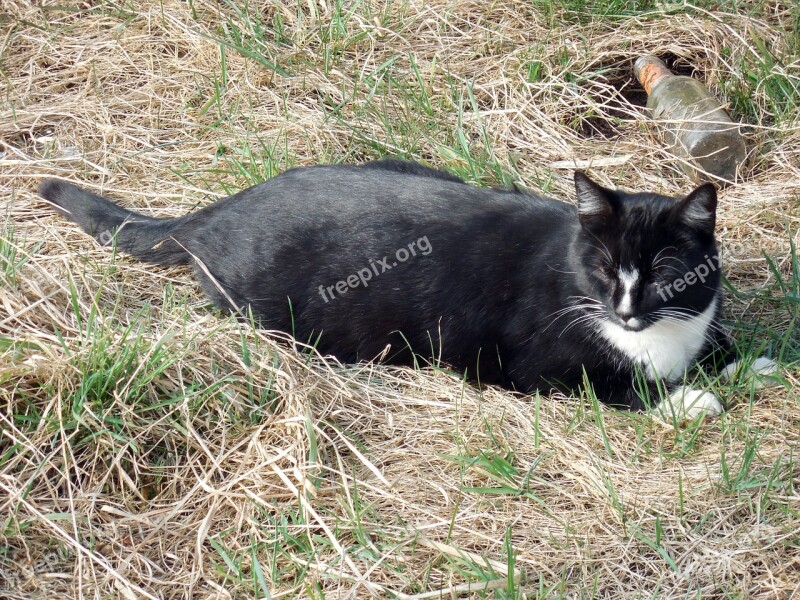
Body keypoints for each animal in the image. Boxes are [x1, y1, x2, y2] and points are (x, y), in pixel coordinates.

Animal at [37, 162, 776, 420]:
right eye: (601, 268)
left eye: (664, 272)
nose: (624, 310)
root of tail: (215, 213)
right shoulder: (533, 366)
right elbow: (621, 387)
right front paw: (693, 397)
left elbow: (718, 342)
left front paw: (751, 362)